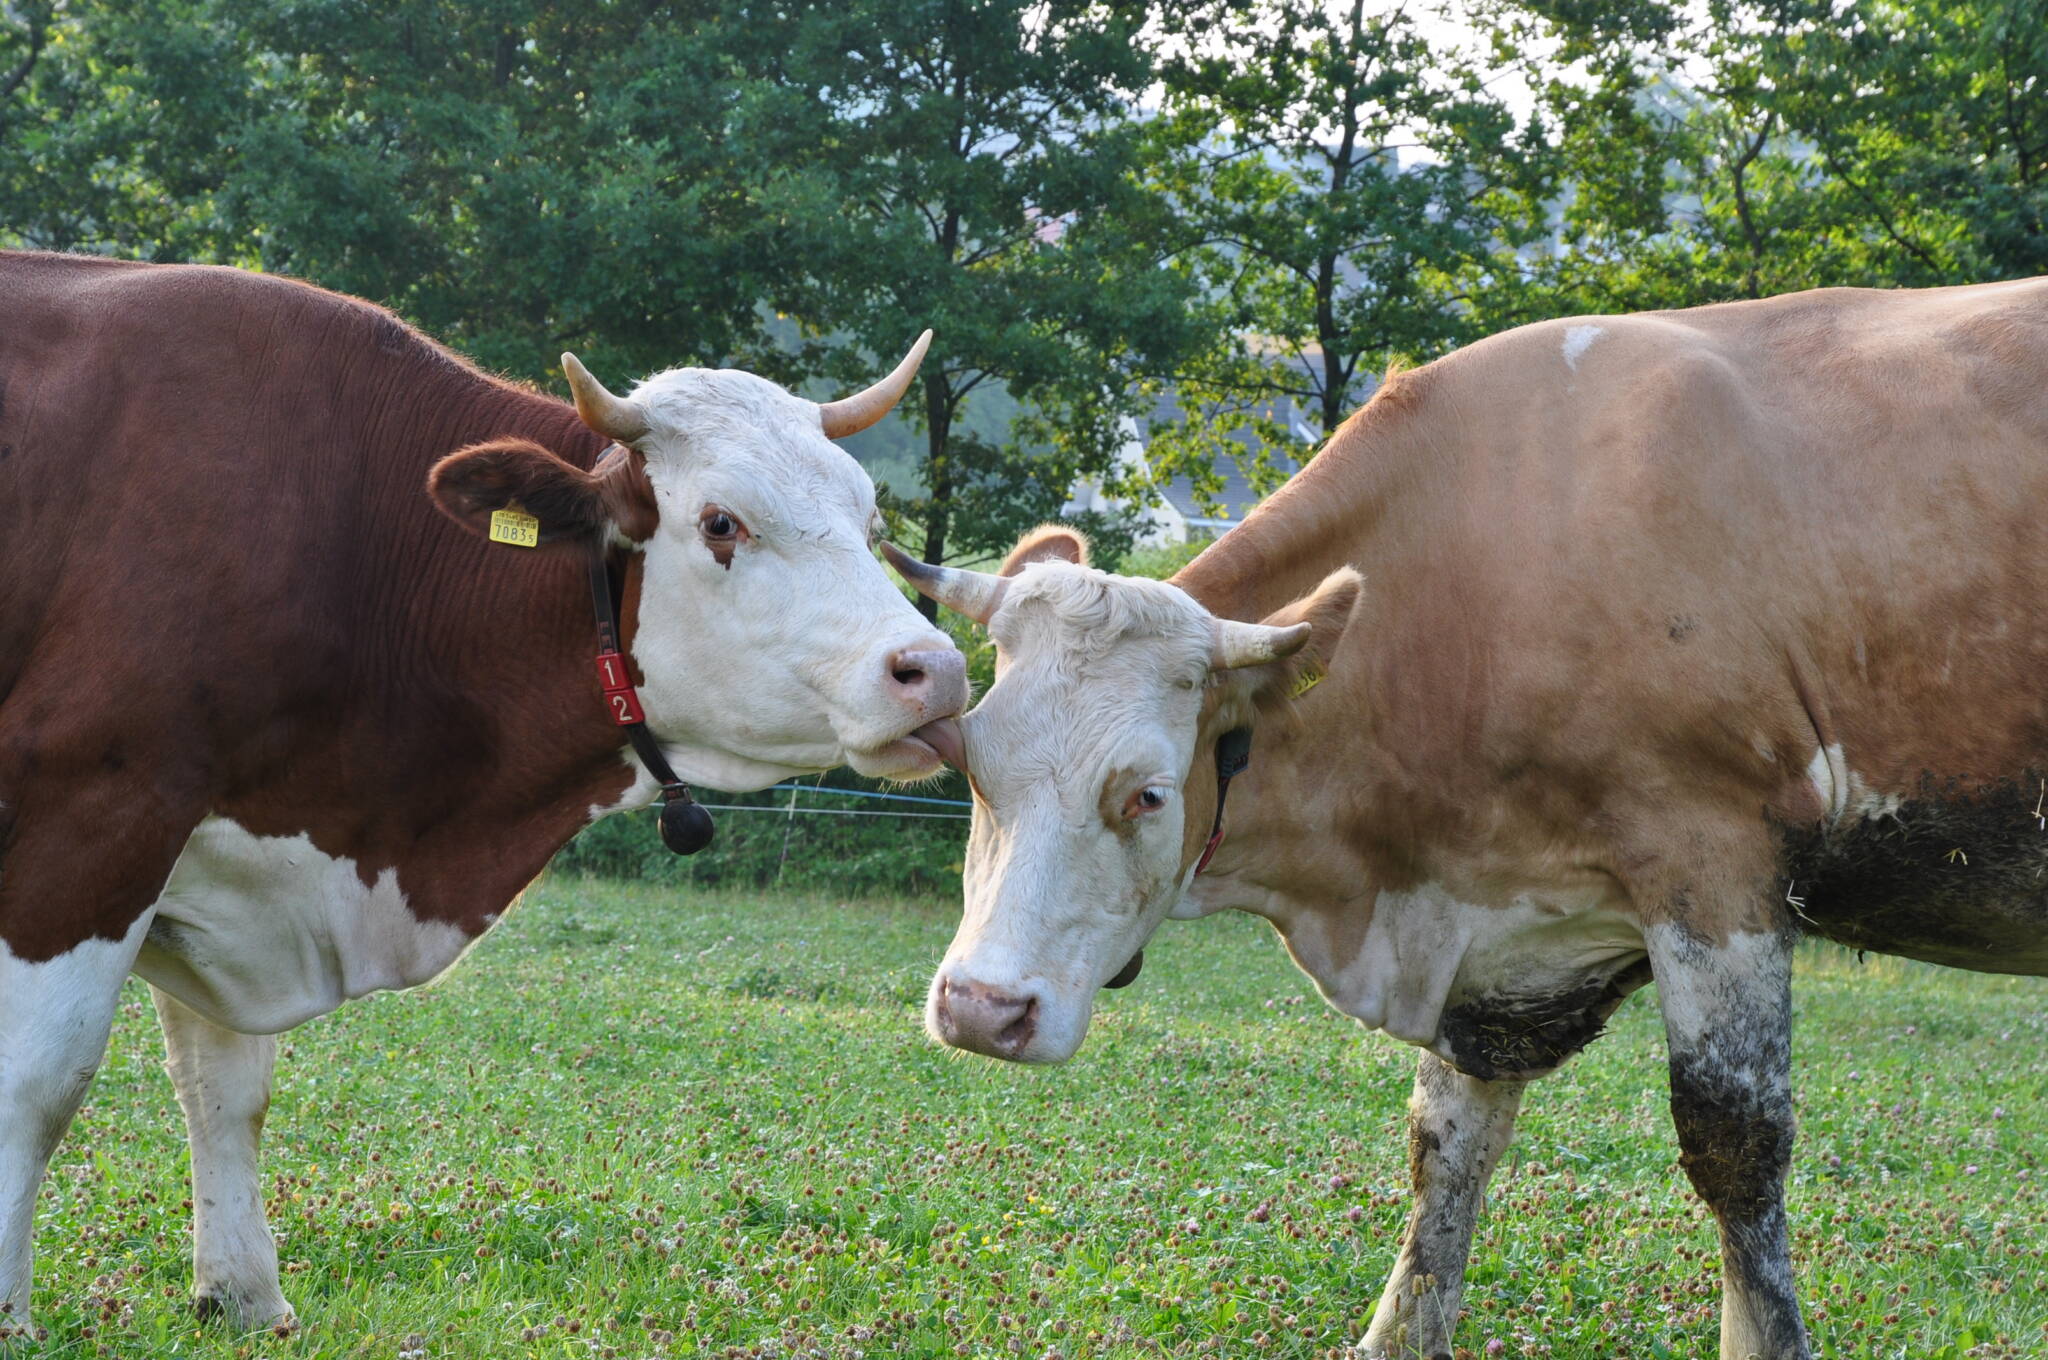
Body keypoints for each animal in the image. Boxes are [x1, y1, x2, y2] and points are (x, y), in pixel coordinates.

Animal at [0, 250, 966, 1337]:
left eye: (869, 520)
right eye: (722, 522)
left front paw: (244, 1295)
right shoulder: (93, 805)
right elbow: (38, 1080)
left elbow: (226, 1083)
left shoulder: (228, 840)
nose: (936, 670)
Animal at [889, 278, 2048, 1360]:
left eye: (1148, 793)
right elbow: (1446, 1146)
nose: (982, 1009)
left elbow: (1736, 1146)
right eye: (969, 762)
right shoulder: (1488, 944)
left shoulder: (1714, 864)